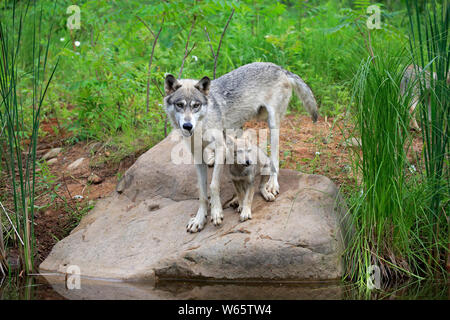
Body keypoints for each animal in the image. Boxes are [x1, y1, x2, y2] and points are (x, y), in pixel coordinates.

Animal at [163, 62, 318, 232]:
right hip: (238, 127)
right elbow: (202, 193)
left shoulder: (221, 148)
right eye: (179, 105)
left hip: (272, 125)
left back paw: (272, 184)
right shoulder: (197, 157)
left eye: (196, 105)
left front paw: (216, 213)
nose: (187, 126)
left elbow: (214, 185)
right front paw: (199, 219)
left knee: (275, 158)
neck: (202, 125)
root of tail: (279, 67)